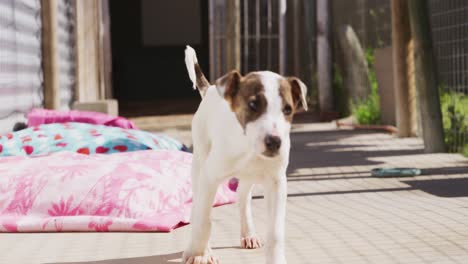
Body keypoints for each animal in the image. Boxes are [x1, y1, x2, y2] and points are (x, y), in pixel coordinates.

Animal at [182, 46, 308, 264]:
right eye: (253, 105)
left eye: (288, 110)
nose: (275, 142)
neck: (249, 148)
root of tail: (211, 90)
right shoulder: (209, 177)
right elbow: (203, 219)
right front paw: (199, 253)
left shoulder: (276, 183)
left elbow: (275, 232)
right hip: (199, 164)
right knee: (198, 206)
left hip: (250, 177)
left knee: (243, 197)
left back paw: (248, 234)